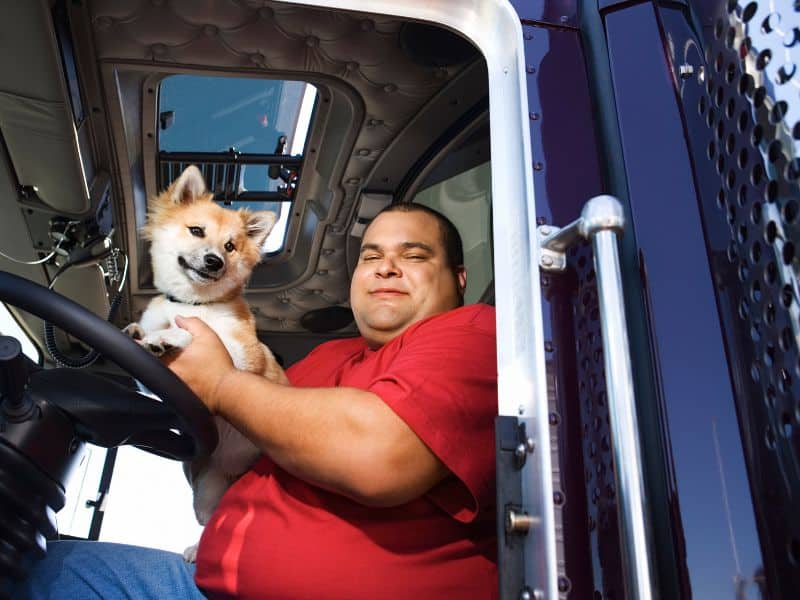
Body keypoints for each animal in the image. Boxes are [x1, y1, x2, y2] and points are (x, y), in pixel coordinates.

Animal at [123, 165, 286, 564]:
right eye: (196, 231)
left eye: (231, 247)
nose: (215, 261)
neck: (193, 304)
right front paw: (140, 333)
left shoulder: (244, 354)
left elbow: (204, 339)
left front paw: (171, 337)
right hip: (207, 489)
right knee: (212, 518)